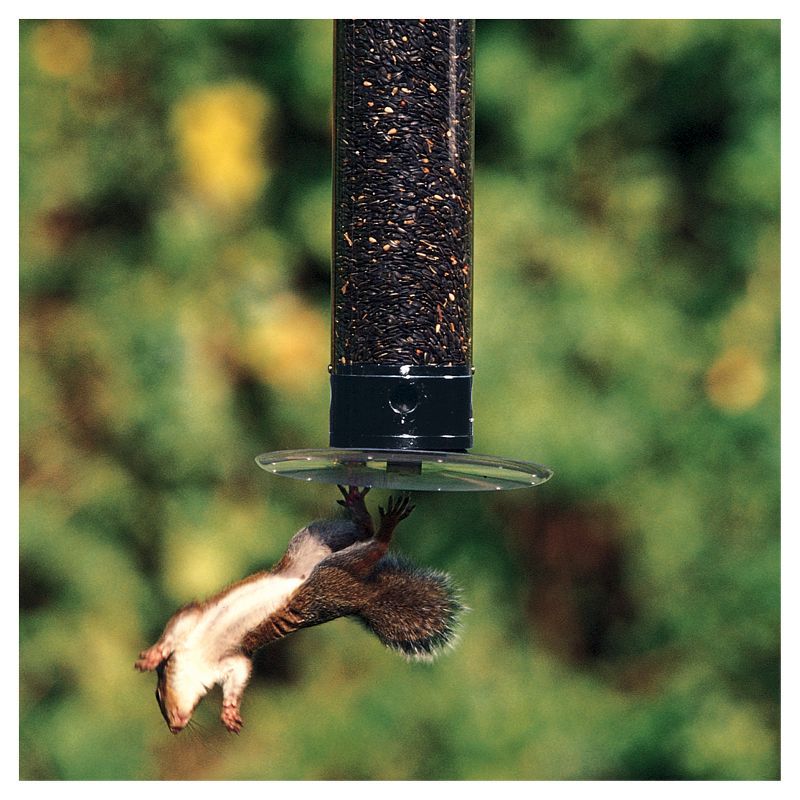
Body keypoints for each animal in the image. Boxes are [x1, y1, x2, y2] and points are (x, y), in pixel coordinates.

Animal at [134, 486, 463, 734]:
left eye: (158, 695)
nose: (175, 728)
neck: (199, 659)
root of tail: (365, 595)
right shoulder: (225, 660)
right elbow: (237, 674)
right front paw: (228, 710)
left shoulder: (195, 623)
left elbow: (179, 628)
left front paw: (152, 656)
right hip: (313, 544)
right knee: (361, 534)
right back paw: (361, 513)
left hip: (325, 573)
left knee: (374, 545)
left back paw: (380, 526)